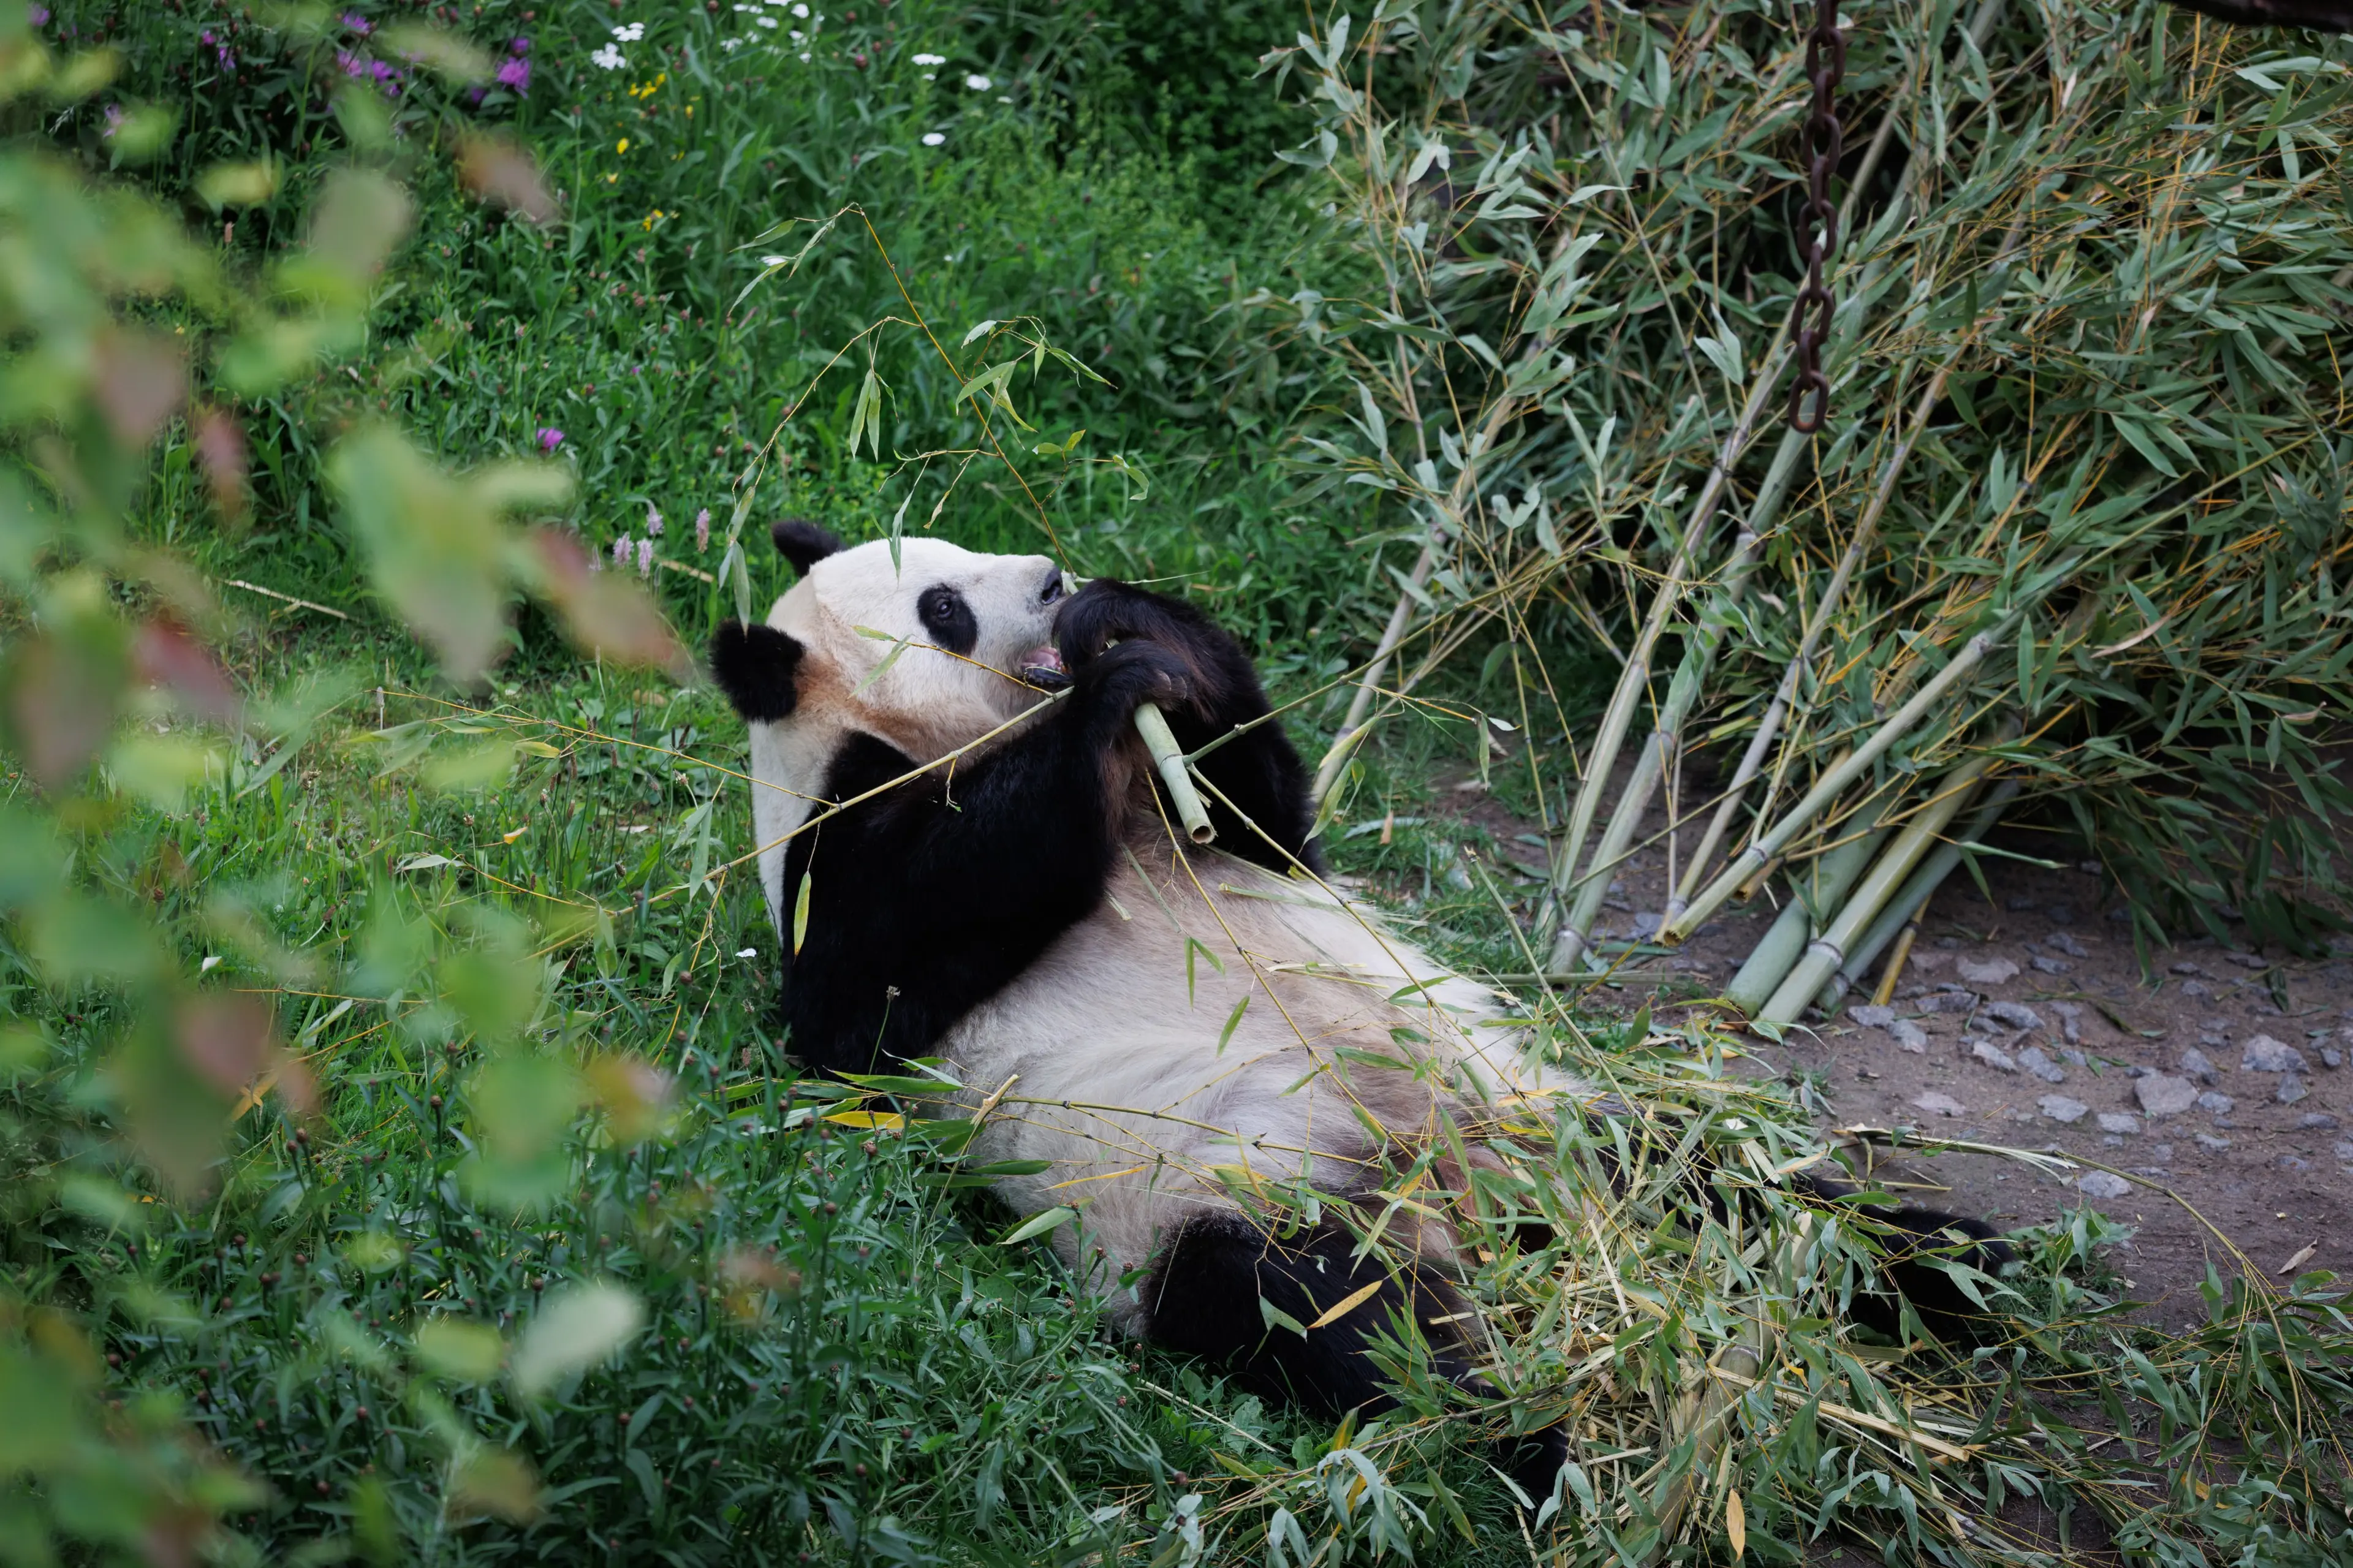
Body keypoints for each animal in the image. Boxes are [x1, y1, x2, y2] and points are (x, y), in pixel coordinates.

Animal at [709, 518, 2011, 1500]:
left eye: (961, 550)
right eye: (943, 607)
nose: (1050, 582)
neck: (918, 739)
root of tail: (1476, 1203)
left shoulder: (1204, 828)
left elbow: (1265, 814)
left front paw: (1139, 633)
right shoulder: (839, 853)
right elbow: (868, 995)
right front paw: (1105, 692)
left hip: (1527, 1099)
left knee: (1721, 1183)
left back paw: (1961, 1268)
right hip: (1221, 1187)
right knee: (1340, 1319)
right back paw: (1563, 1430)